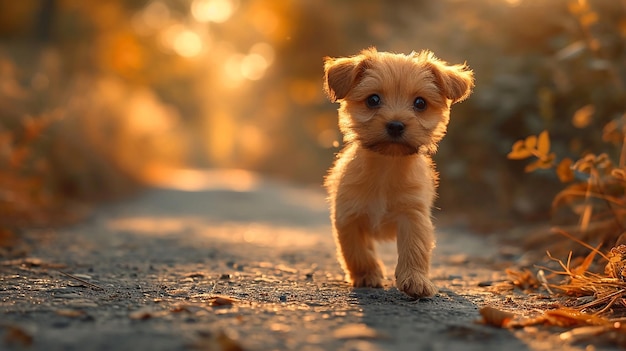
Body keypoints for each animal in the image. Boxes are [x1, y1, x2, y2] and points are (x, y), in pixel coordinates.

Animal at [322, 48, 472, 298]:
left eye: (420, 103)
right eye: (373, 99)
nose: (395, 125)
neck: (386, 168)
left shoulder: (413, 215)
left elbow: (415, 248)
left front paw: (415, 279)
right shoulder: (349, 216)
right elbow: (356, 251)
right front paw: (367, 275)